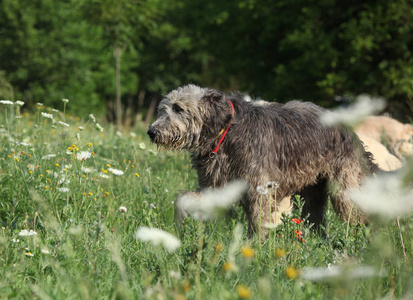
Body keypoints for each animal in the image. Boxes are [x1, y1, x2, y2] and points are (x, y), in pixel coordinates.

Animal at [147, 84, 376, 234]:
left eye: (178, 108)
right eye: (162, 108)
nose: (151, 132)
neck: (224, 132)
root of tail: (351, 132)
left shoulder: (259, 187)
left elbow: (258, 220)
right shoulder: (216, 187)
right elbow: (182, 199)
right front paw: (180, 227)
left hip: (344, 189)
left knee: (359, 216)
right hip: (312, 191)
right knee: (316, 222)